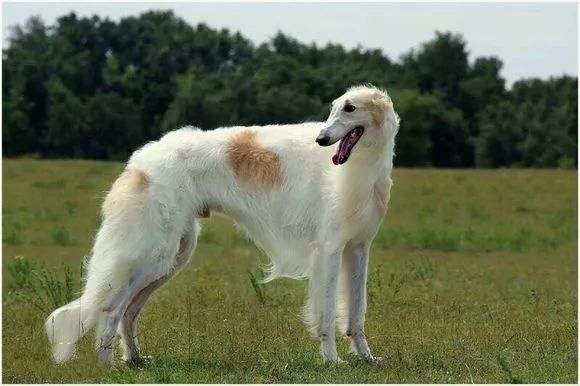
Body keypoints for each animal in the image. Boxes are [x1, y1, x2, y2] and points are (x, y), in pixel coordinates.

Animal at [45, 83, 402, 364]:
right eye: (332, 109)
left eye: (350, 108)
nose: (322, 139)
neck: (359, 167)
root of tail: (139, 162)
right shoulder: (329, 249)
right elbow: (327, 313)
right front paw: (332, 360)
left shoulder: (358, 248)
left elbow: (357, 313)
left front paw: (367, 358)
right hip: (152, 255)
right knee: (111, 309)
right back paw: (109, 366)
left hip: (172, 257)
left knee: (128, 313)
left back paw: (135, 359)